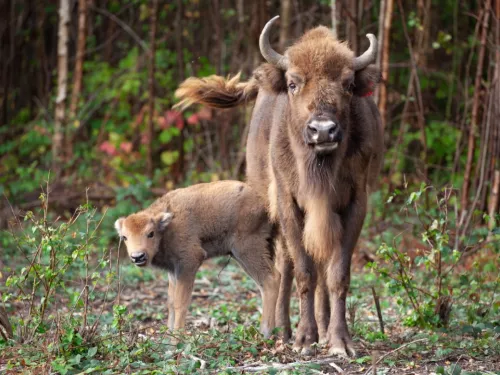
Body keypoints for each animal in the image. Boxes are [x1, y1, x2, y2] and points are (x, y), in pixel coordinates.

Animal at [113, 181, 282, 338]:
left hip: (247, 250)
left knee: (271, 279)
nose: (138, 256)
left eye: (150, 233)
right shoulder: (173, 270)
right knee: (263, 285)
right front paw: (169, 336)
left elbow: (181, 303)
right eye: (124, 237)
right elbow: (171, 302)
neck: (167, 228)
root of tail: (265, 204)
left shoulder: (189, 262)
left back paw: (265, 333)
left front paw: (177, 339)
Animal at [175, 16, 382, 356]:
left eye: (348, 85)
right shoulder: (289, 204)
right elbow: (304, 272)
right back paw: (283, 330)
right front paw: (304, 339)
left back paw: (323, 328)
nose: (322, 131)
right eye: (293, 84)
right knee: (285, 268)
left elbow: (337, 274)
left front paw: (339, 341)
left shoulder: (354, 204)